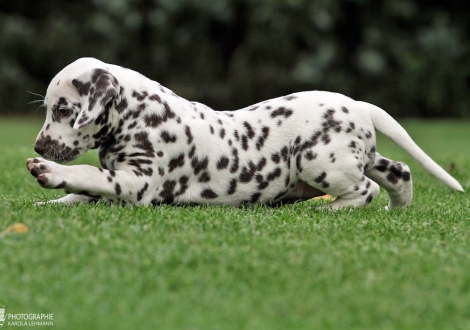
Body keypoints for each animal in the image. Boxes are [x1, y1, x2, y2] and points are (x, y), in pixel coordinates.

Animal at [26, 58, 462, 209]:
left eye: (63, 110)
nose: (39, 145)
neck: (139, 116)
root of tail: (358, 104)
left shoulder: (137, 182)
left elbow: (88, 175)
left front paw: (49, 172)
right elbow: (81, 192)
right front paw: (51, 203)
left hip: (318, 160)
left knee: (365, 189)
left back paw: (329, 209)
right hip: (360, 158)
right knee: (399, 172)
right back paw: (396, 210)